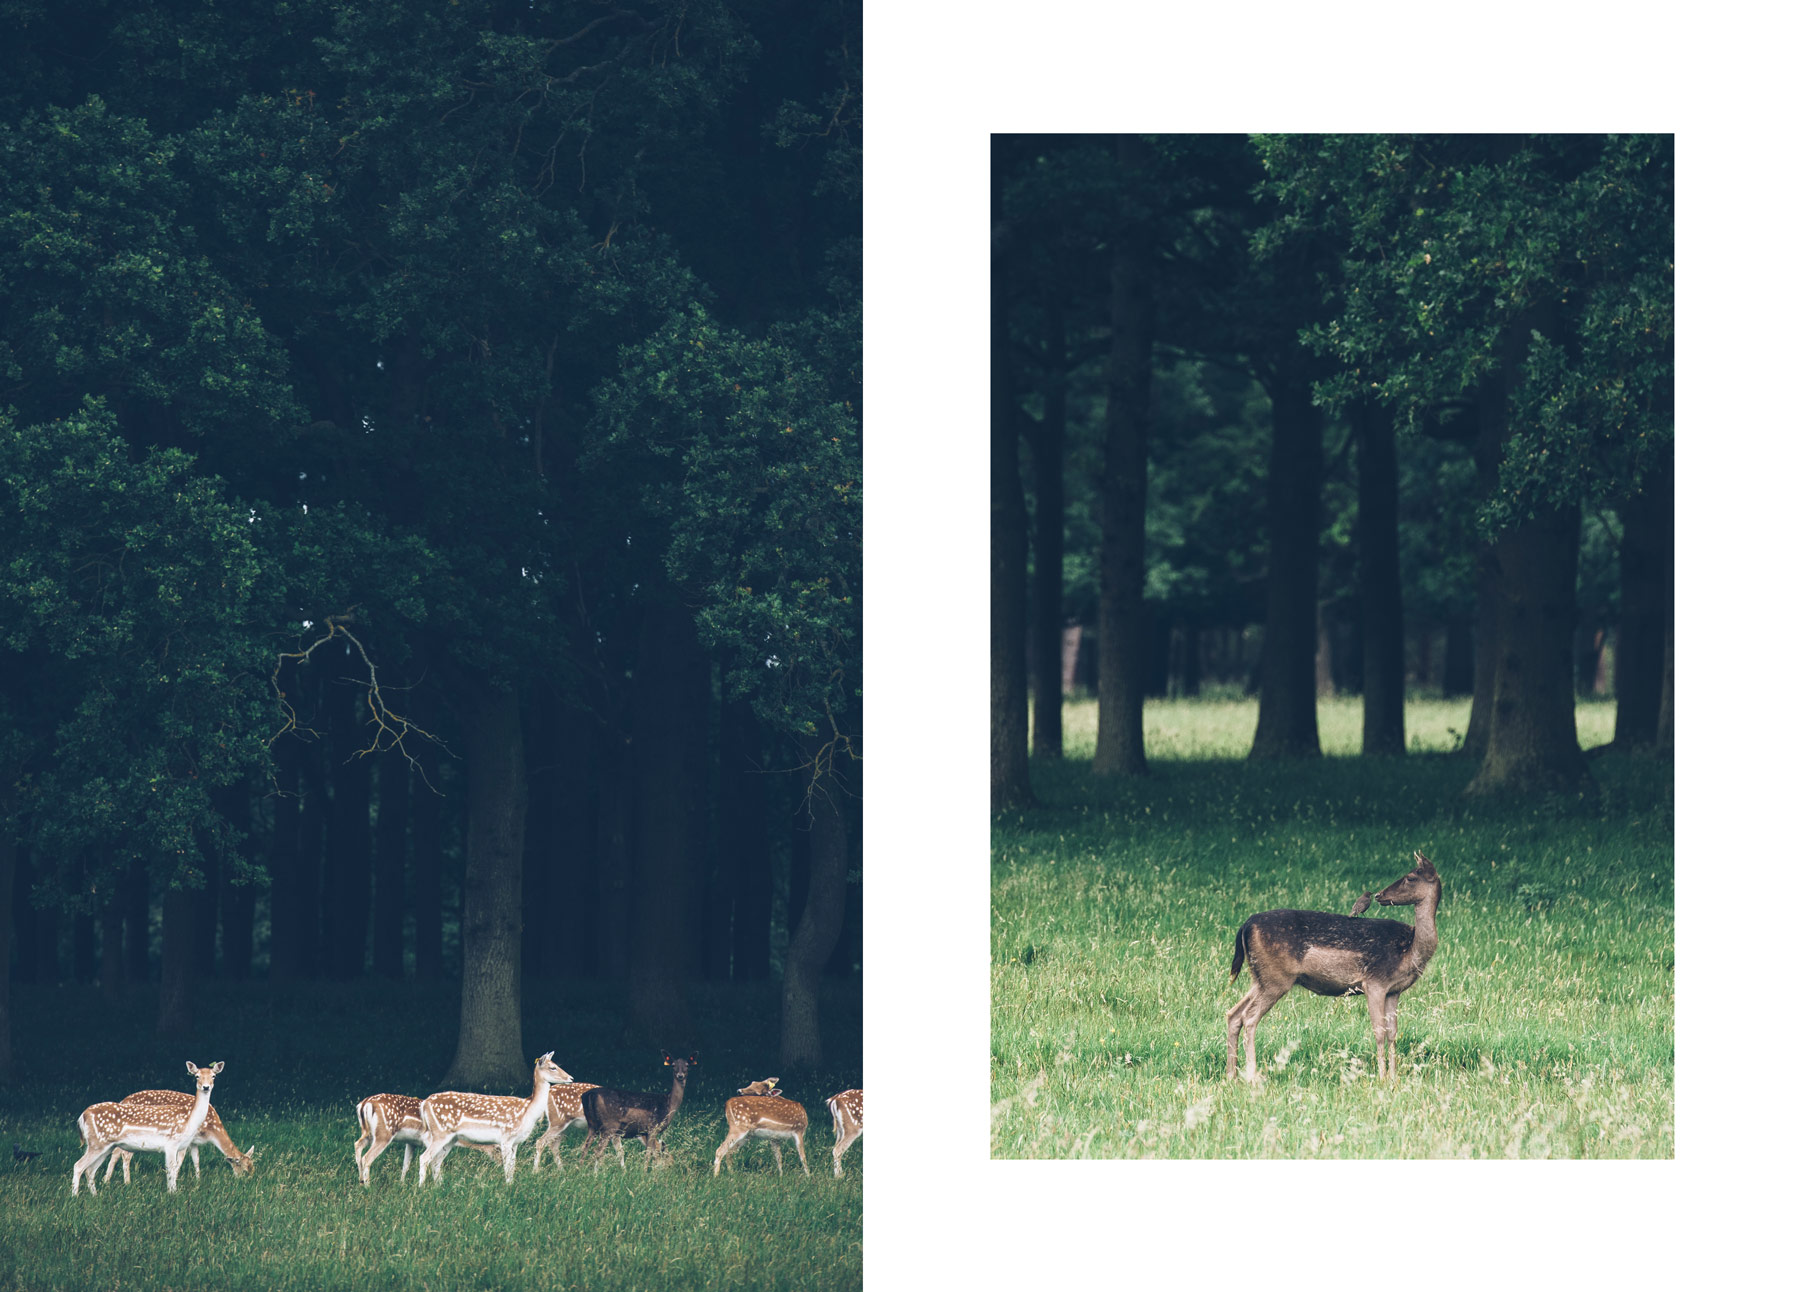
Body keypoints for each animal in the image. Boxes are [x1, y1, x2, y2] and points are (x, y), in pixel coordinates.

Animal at [72, 1058, 224, 1202]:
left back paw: (95, 1196)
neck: (189, 1121)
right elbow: (171, 1169)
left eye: (214, 1076)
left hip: (105, 1146)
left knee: (90, 1170)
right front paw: (173, 1195)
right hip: (97, 1143)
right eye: (197, 1076)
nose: (206, 1087)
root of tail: (83, 1115)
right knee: (78, 1165)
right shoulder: (171, 1143)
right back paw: (75, 1197)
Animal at [103, 1086, 255, 1187]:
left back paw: (106, 1180)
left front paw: (198, 1180)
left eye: (253, 1168)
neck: (212, 1130)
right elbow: (180, 1160)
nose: (248, 1183)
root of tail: (123, 1101)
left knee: (115, 1152)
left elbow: (196, 1159)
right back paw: (127, 1183)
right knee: (125, 1155)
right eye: (244, 1171)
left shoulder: (194, 1142)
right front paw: (174, 1179)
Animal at [356, 1094, 507, 1187]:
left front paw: (402, 1184)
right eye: (498, 1149)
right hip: (383, 1134)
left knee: (357, 1145)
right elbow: (434, 1162)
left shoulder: (411, 1142)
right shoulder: (429, 1140)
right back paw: (368, 1186)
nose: (501, 1164)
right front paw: (437, 1185)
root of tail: (364, 1104)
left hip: (367, 1133)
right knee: (367, 1157)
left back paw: (361, 1181)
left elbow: (406, 1165)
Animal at [415, 1050, 572, 1187]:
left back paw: (439, 1187)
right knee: (424, 1158)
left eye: (557, 1065)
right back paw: (421, 1188)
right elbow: (507, 1167)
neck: (527, 1111)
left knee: (436, 1161)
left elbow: (512, 1166)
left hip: (451, 1138)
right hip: (440, 1132)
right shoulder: (506, 1137)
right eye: (553, 1067)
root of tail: (425, 1103)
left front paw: (511, 1185)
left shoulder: (515, 1142)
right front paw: (508, 1188)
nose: (571, 1078)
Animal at [1224, 856, 1447, 1086]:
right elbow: (1379, 1031)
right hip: (1276, 979)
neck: (1409, 951)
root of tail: (1245, 926)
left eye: (1410, 877)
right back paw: (1251, 1076)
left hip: (1260, 977)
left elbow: (1393, 1032)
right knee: (1249, 1017)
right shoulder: (1374, 982)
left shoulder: (1394, 990)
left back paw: (1231, 1075)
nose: (1379, 895)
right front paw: (1382, 1077)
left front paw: (1393, 1078)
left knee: (1233, 1013)